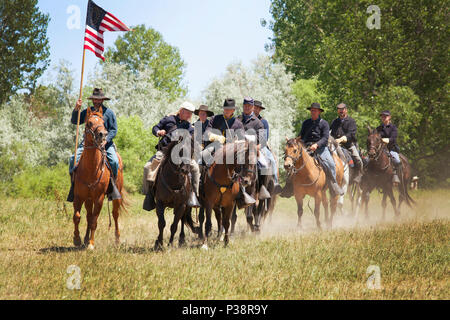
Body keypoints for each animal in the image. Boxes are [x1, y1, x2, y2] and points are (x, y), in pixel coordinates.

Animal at [72, 107, 125, 250]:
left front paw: (91, 244)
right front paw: (77, 239)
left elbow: (95, 221)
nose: (103, 134)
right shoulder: (79, 196)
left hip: (116, 195)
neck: (91, 169)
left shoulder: (99, 198)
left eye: (103, 122)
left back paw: (117, 240)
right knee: (88, 216)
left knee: (115, 214)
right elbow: (77, 217)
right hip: (88, 199)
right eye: (89, 122)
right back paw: (85, 239)